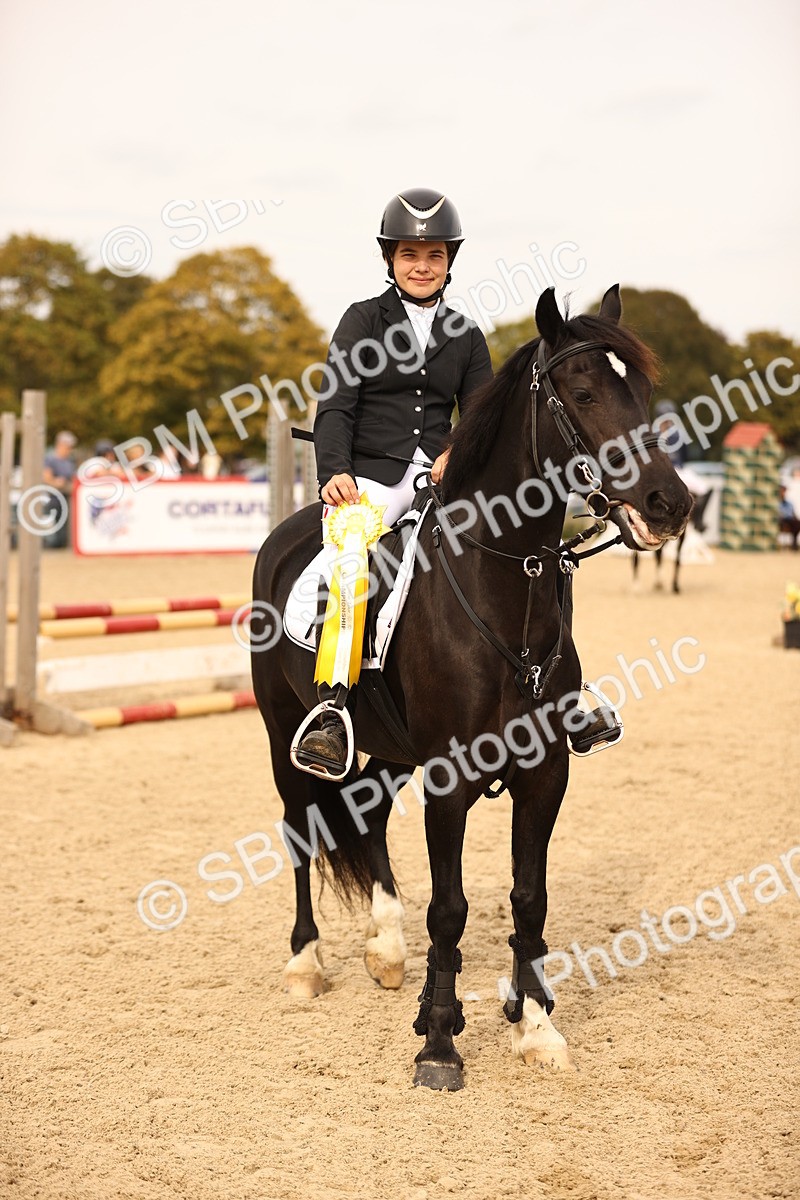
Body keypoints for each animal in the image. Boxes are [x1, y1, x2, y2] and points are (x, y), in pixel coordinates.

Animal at [251, 284, 692, 1091]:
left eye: (644, 393)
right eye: (583, 392)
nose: (668, 503)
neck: (502, 581)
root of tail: (289, 529)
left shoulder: (544, 772)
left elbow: (530, 897)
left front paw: (535, 1026)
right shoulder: (450, 777)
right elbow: (450, 909)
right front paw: (438, 1042)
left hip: (393, 750)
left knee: (369, 813)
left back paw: (387, 951)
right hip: (282, 733)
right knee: (300, 828)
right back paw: (306, 964)